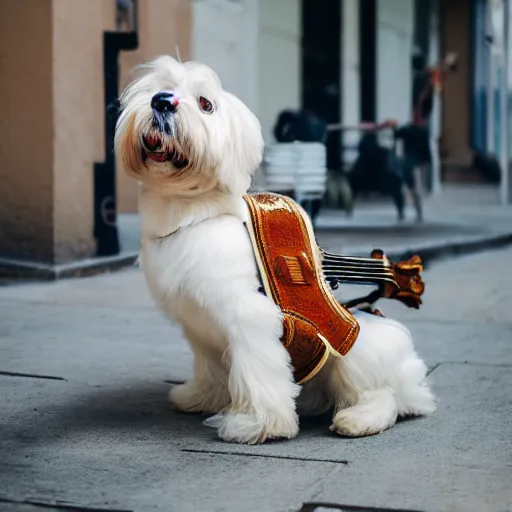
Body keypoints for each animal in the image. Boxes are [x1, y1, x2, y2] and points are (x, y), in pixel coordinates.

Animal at [114, 56, 434, 444]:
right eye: (160, 89)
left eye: (206, 104)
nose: (162, 101)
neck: (193, 214)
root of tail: (414, 376)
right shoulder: (199, 328)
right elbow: (210, 368)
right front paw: (202, 396)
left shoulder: (250, 319)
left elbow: (257, 374)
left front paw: (255, 425)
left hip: (359, 352)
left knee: (383, 395)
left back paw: (359, 418)